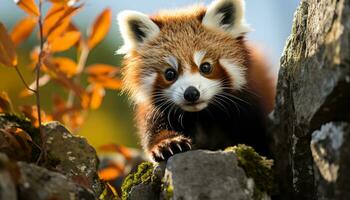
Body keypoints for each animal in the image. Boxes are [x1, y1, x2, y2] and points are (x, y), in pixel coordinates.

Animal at [117, 0, 276, 162]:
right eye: (170, 73)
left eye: (205, 67)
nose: (191, 93)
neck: (200, 115)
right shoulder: (155, 111)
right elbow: (154, 130)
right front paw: (168, 143)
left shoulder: (247, 106)